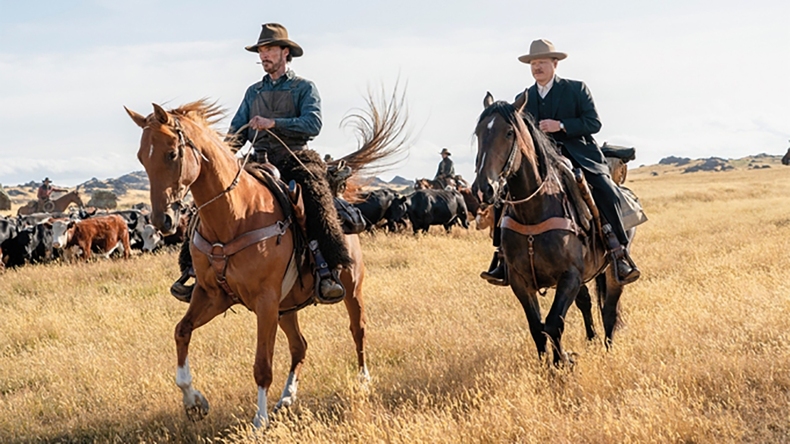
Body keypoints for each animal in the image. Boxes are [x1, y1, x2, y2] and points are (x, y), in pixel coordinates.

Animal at [127, 99, 406, 428]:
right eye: (142, 158)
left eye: (172, 153)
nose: (163, 221)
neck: (236, 214)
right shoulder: (212, 295)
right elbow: (181, 332)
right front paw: (194, 401)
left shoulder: (265, 300)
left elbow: (262, 364)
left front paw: (259, 421)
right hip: (287, 308)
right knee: (300, 345)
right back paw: (286, 398)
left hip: (350, 288)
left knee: (357, 329)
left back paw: (363, 380)